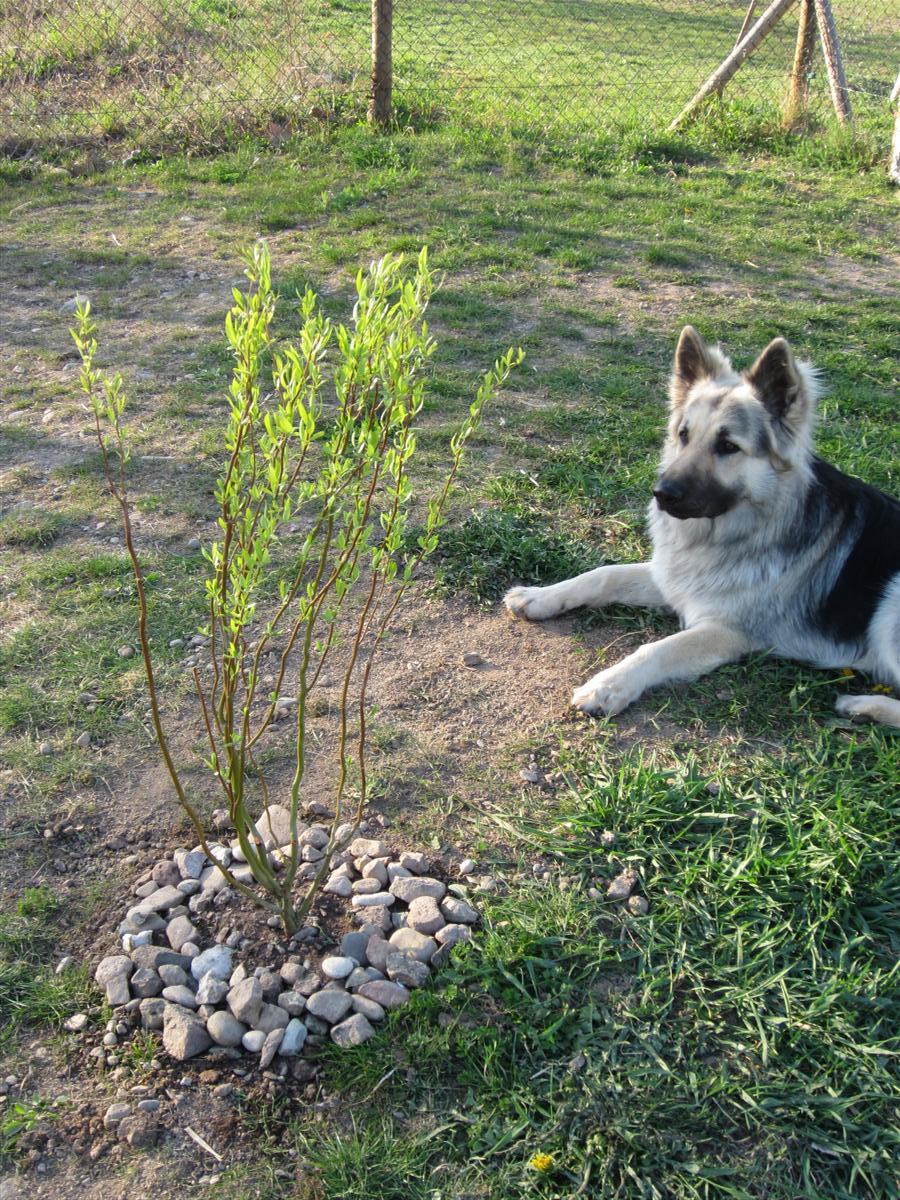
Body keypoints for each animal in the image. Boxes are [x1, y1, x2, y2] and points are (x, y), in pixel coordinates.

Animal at [504, 324, 900, 724]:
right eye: (684, 435)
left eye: (727, 446)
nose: (660, 493)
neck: (741, 529)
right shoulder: (675, 580)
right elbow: (603, 574)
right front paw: (540, 595)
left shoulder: (727, 630)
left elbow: (657, 649)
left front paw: (608, 686)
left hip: (890, 607)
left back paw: (864, 706)